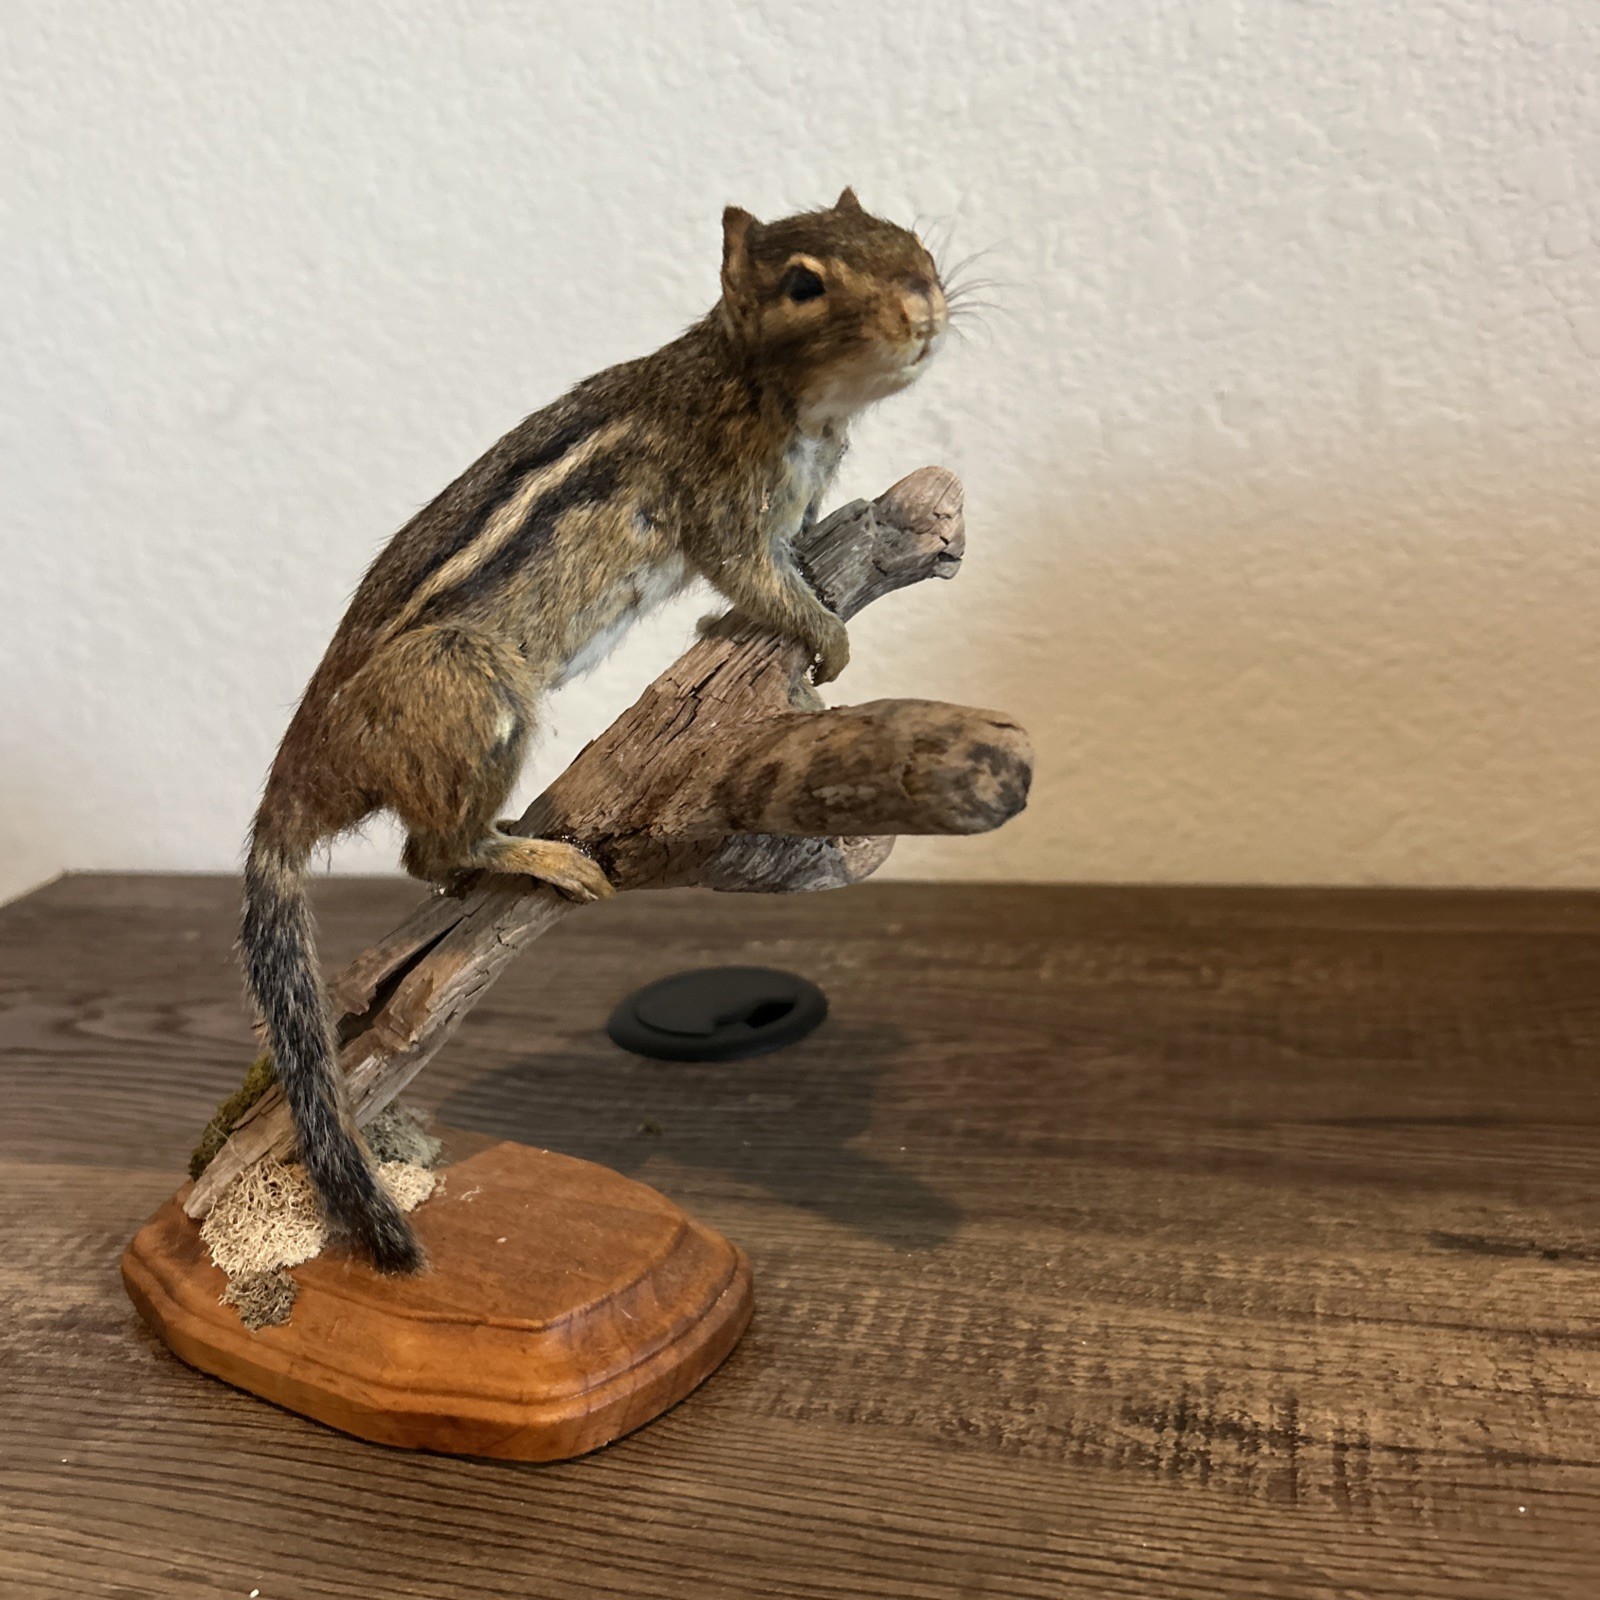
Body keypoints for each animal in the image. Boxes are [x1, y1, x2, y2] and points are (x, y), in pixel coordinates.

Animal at [240, 188, 950, 1273]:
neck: (762, 384)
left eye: (915, 245)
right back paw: (537, 854)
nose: (924, 310)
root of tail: (295, 782)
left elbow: (770, 578)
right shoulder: (724, 500)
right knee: (426, 849)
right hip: (472, 686)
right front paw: (823, 637)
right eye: (802, 283)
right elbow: (759, 580)